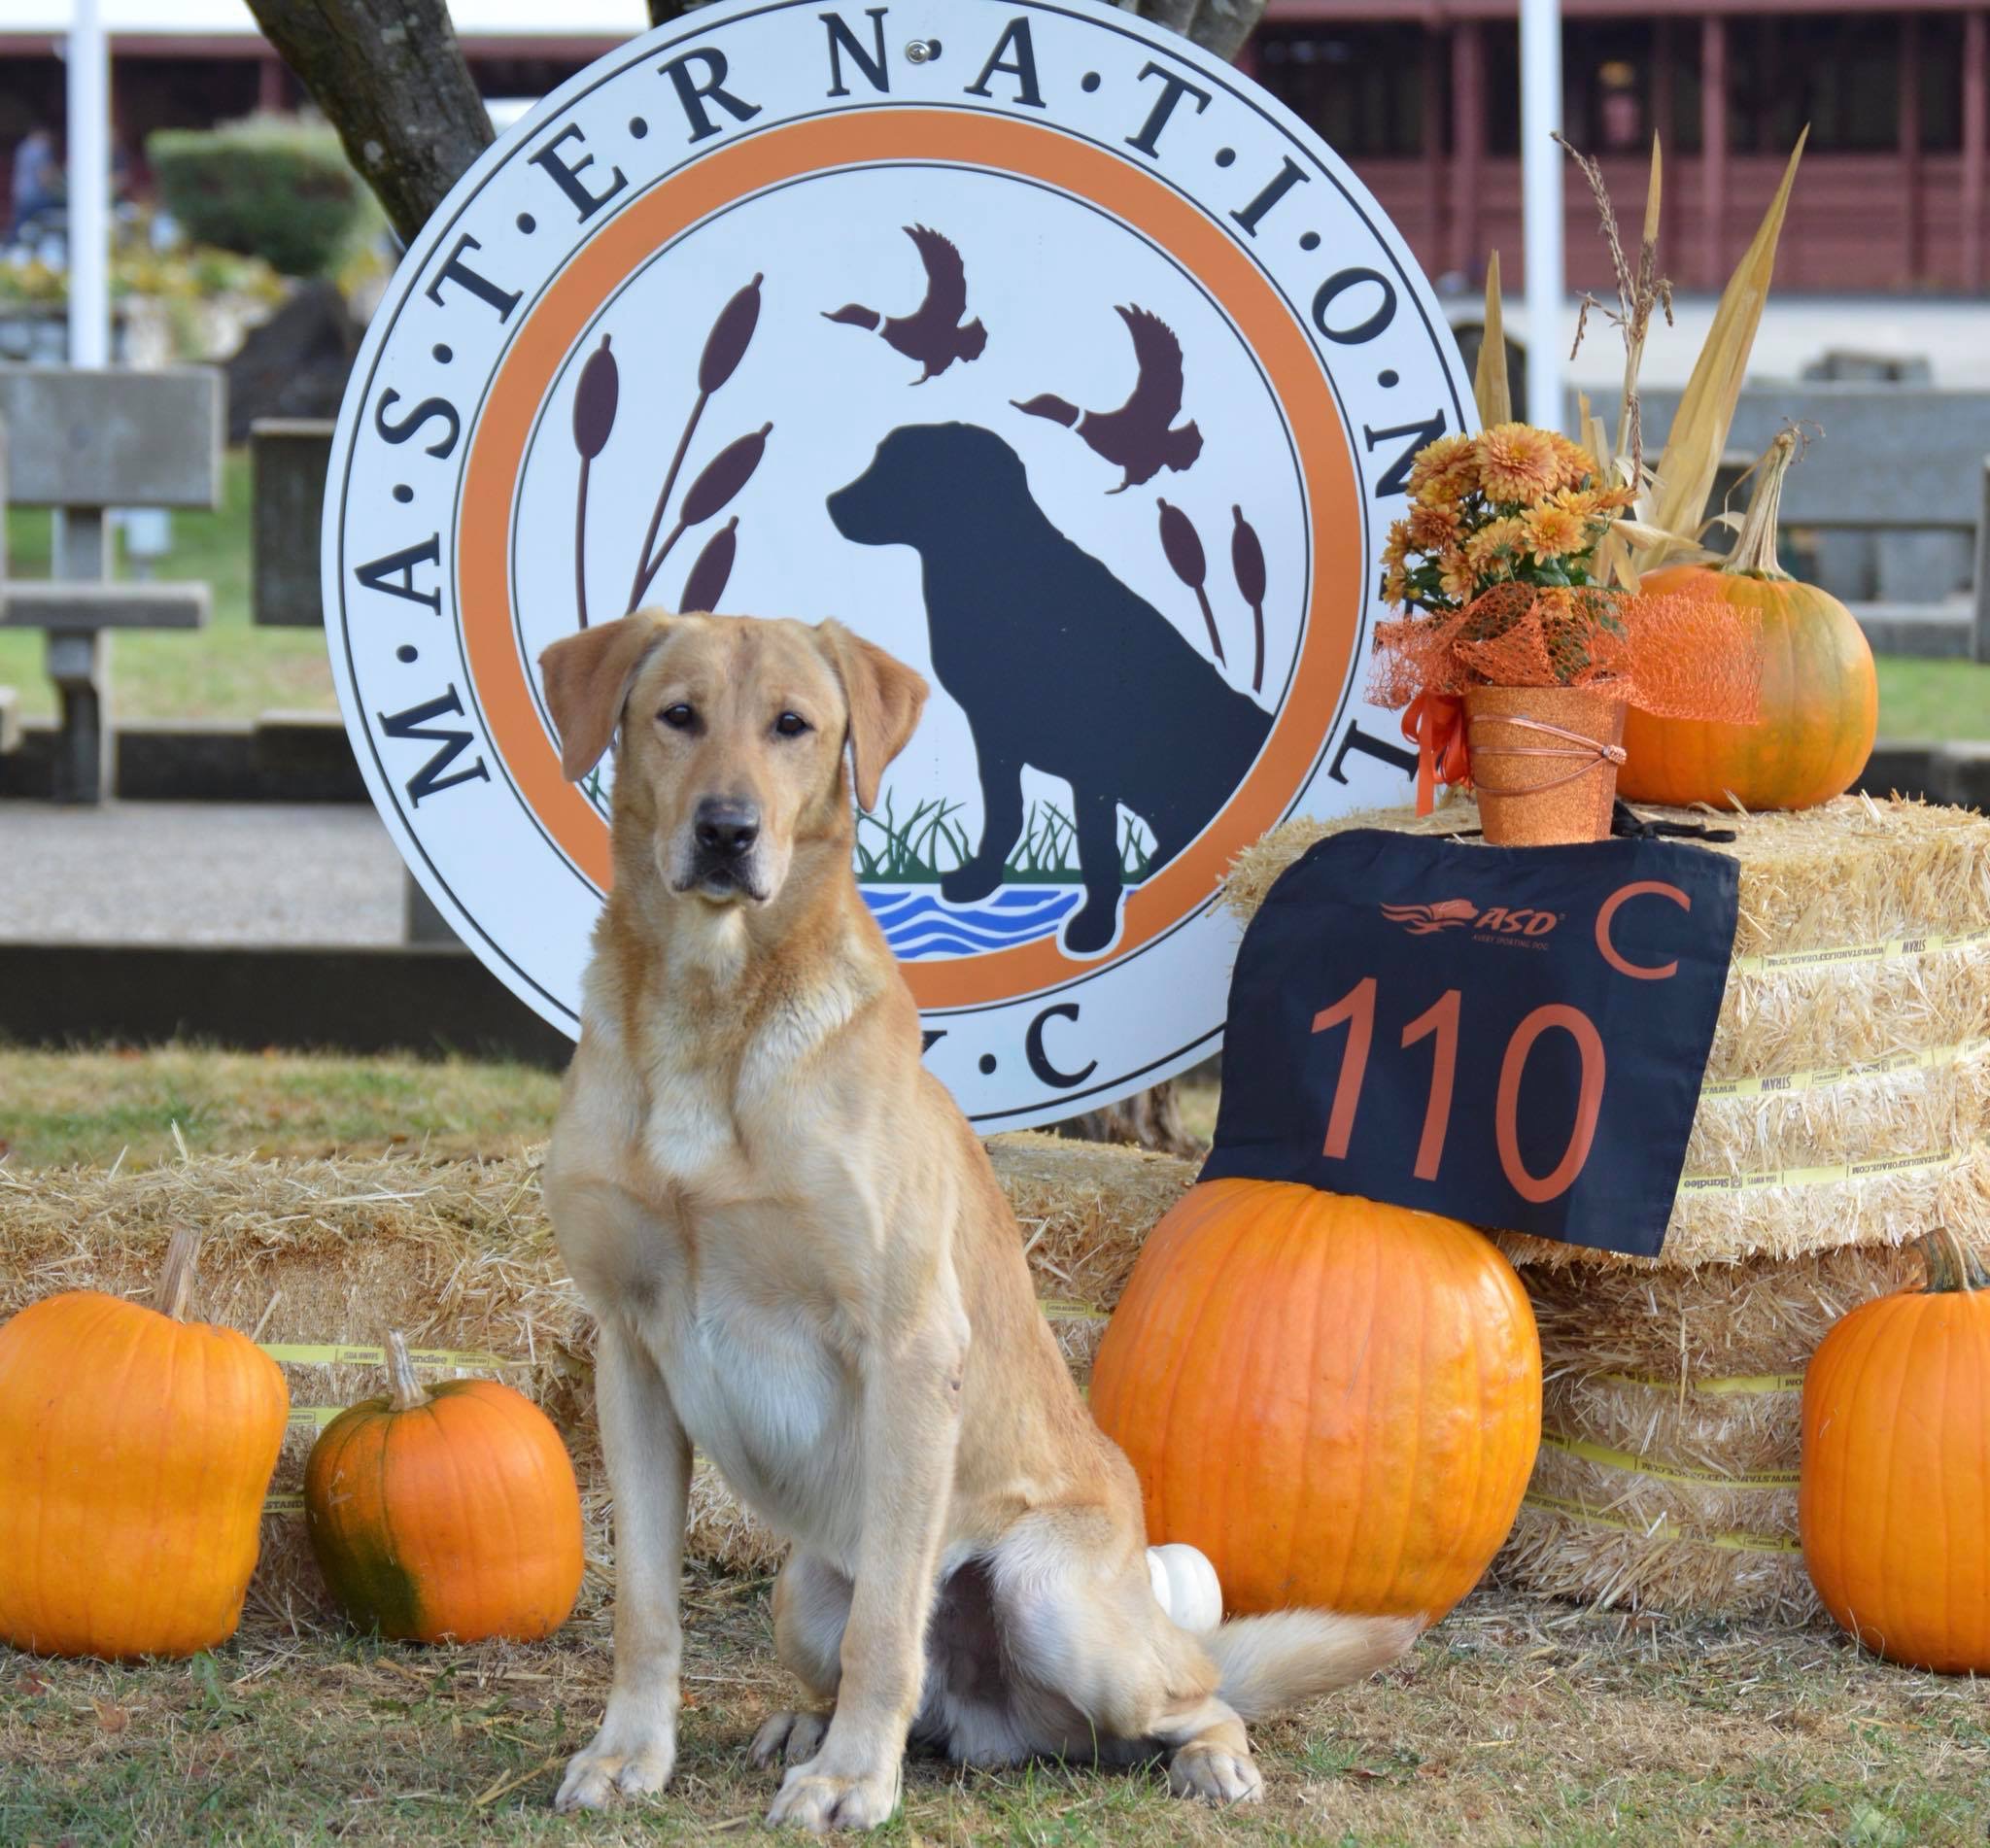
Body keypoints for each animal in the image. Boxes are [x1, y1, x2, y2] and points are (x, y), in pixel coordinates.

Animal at [536, 612, 1424, 1822]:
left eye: (792, 726)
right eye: (678, 715)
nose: (727, 833)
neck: (708, 1016)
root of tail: (995, 1726)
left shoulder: (908, 1345)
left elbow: (884, 1631)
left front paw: (847, 1783)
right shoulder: (630, 1356)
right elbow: (645, 1606)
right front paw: (630, 1753)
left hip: (1058, 1603)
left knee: (1193, 1693)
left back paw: (1201, 1756)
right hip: (800, 1585)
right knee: (880, 1672)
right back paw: (807, 1725)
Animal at [827, 428, 1273, 958]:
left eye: (898, 466)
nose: (832, 503)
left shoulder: (1093, 760)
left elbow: (1096, 848)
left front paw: (1093, 928)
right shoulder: (993, 736)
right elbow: (1005, 813)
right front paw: (980, 880)